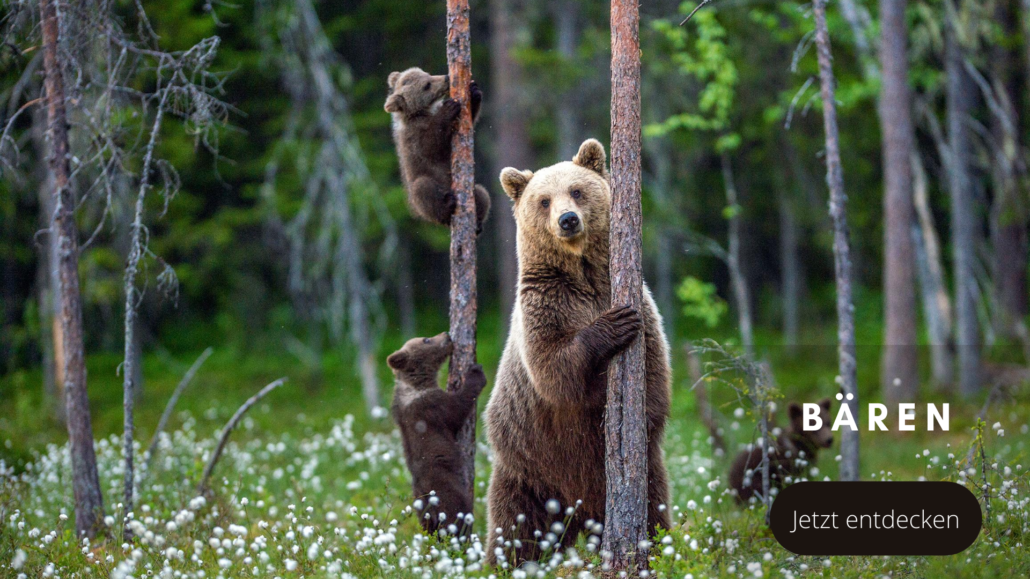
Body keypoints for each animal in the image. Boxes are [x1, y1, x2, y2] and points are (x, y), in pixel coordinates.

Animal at [387, 331, 486, 535]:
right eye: (426, 339)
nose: (446, 334)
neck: (417, 384)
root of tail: (427, 502)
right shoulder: (432, 406)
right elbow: (457, 408)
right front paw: (476, 373)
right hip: (446, 490)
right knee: (457, 514)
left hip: (420, 510)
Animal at [484, 139, 671, 564]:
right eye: (543, 200)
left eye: (577, 190)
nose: (567, 220)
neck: (582, 272)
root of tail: (579, 510)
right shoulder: (545, 305)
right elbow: (554, 370)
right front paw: (612, 326)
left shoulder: (637, 301)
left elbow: (654, 371)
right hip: (528, 467)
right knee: (515, 528)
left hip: (642, 475)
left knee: (654, 507)